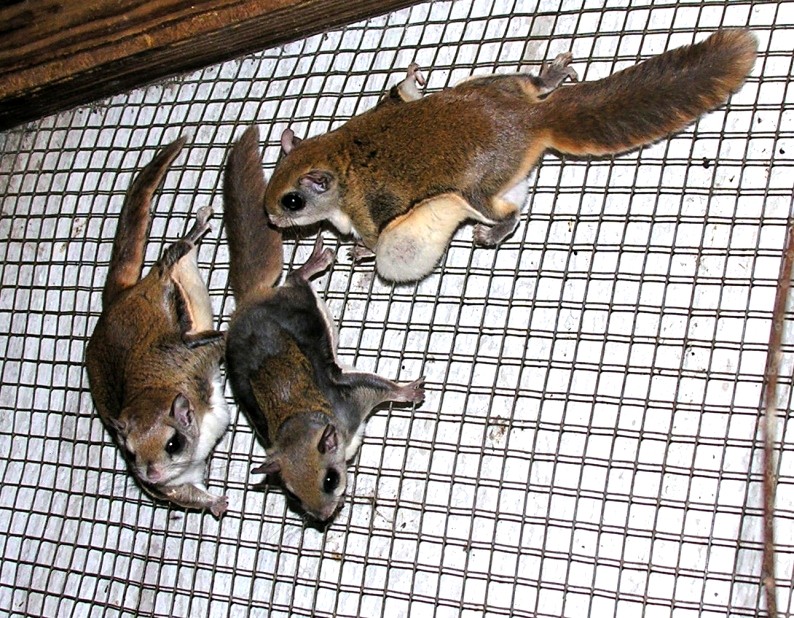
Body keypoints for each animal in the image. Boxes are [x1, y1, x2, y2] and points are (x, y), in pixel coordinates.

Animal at [85, 138, 230, 517]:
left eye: (172, 443)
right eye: (130, 453)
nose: (151, 474)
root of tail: (116, 301)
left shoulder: (193, 361)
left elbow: (219, 343)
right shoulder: (175, 485)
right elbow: (189, 494)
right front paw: (216, 503)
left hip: (167, 280)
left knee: (174, 252)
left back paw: (196, 228)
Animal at [223, 126, 425, 523]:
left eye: (330, 479)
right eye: (292, 495)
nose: (324, 516)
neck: (300, 424)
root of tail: (249, 301)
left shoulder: (354, 400)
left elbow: (381, 387)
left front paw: (408, 392)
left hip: (297, 301)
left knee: (296, 281)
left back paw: (313, 263)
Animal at [263, 29, 757, 282]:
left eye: (292, 201)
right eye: (271, 181)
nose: (269, 218)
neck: (336, 156)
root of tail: (530, 121)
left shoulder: (369, 211)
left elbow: (370, 238)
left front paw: (361, 254)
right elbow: (401, 93)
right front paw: (412, 75)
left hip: (476, 190)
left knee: (509, 213)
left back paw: (494, 232)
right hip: (497, 85)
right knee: (529, 86)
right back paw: (549, 76)